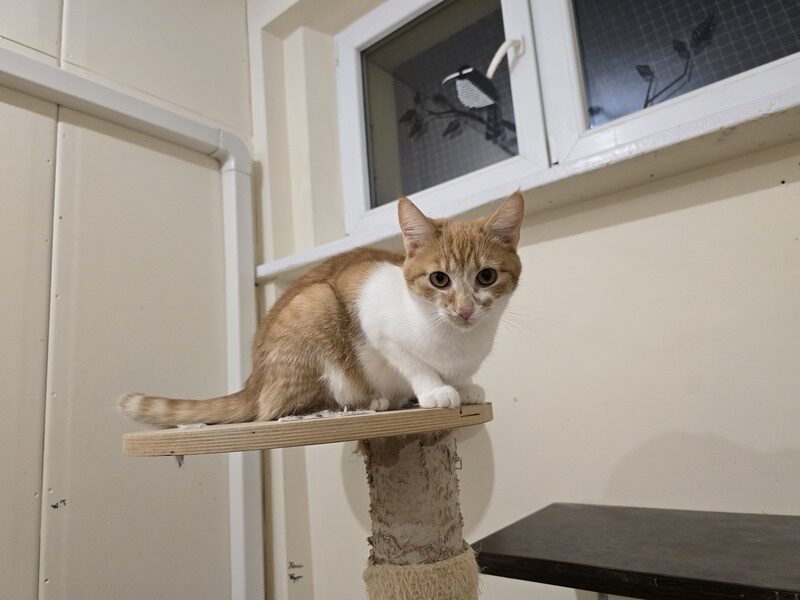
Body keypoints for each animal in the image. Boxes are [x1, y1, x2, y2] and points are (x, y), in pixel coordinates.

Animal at [120, 193, 523, 427]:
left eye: (486, 276)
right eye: (440, 279)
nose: (465, 309)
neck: (457, 343)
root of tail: (254, 379)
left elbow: (460, 376)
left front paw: (464, 386)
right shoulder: (375, 317)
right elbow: (413, 363)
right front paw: (435, 390)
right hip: (315, 304)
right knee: (277, 409)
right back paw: (369, 402)